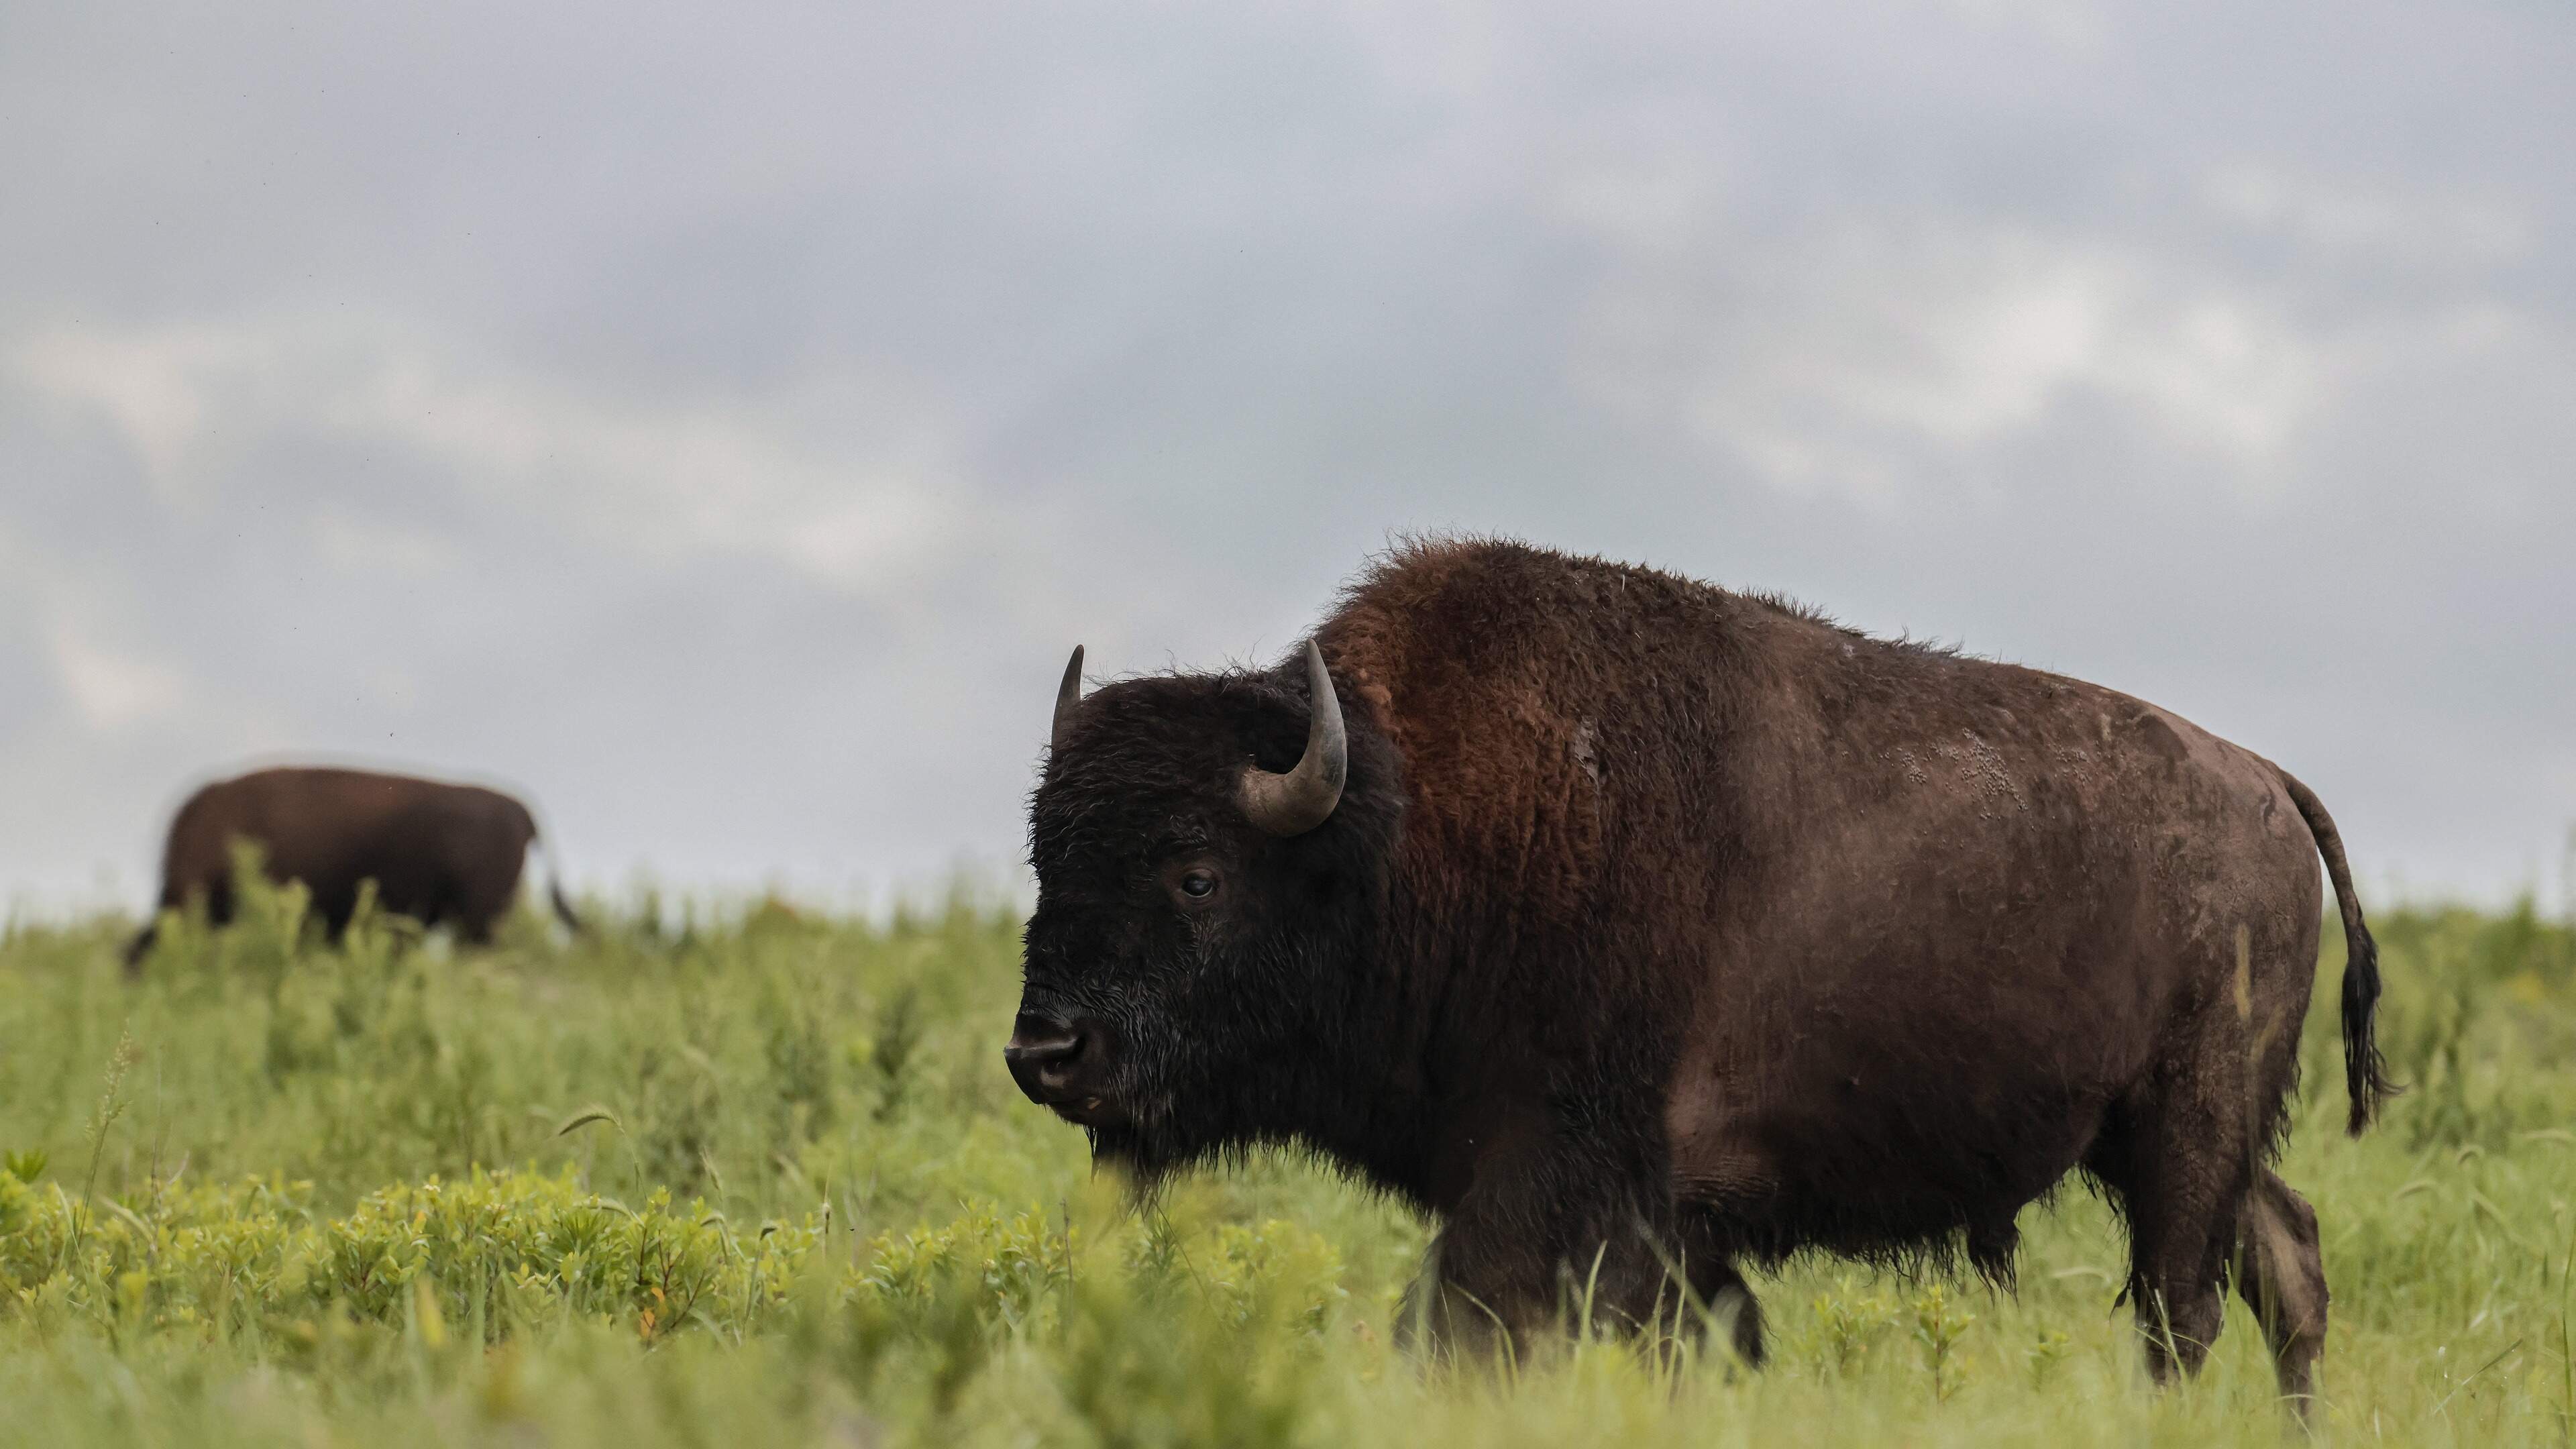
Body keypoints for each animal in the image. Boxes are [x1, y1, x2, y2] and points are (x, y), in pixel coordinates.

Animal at [1009, 538, 2385, 1405]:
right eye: (1044, 858)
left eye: (1196, 876)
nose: (1045, 1054)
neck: (1406, 829)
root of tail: (2265, 781)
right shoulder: (1662, 1225)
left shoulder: (1557, 1181)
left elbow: (1463, 1325)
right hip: (2155, 1137)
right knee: (2284, 1257)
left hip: (2187, 1120)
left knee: (2184, 1307)